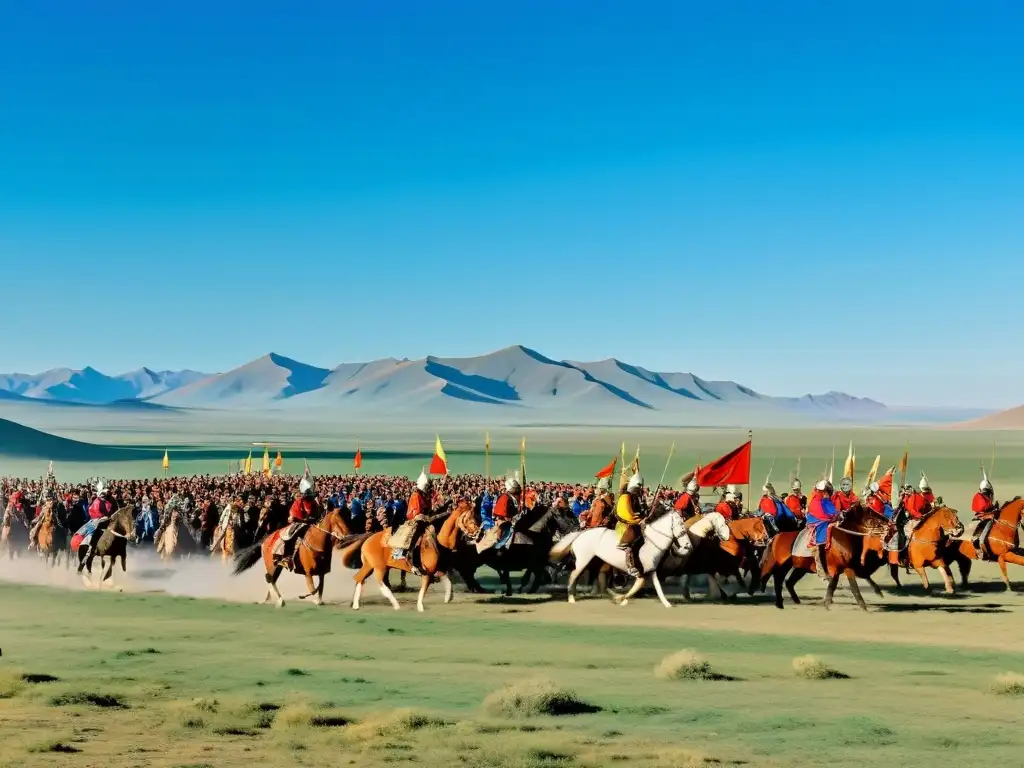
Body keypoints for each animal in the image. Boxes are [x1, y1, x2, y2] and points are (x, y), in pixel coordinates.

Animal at [548, 507, 733, 610]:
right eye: (680, 527)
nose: (687, 546)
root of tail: (581, 533)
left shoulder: (651, 570)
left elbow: (654, 587)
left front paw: (666, 603)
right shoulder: (645, 570)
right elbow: (641, 585)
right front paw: (622, 599)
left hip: (596, 561)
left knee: (597, 578)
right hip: (583, 561)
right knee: (574, 576)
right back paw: (572, 598)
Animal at [757, 505, 892, 614]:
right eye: (872, 518)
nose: (890, 524)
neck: (844, 537)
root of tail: (776, 537)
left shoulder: (844, 568)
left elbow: (839, 584)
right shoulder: (844, 567)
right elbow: (850, 586)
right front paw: (862, 606)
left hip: (800, 568)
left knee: (789, 582)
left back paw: (796, 601)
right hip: (783, 565)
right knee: (778, 579)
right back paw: (779, 603)